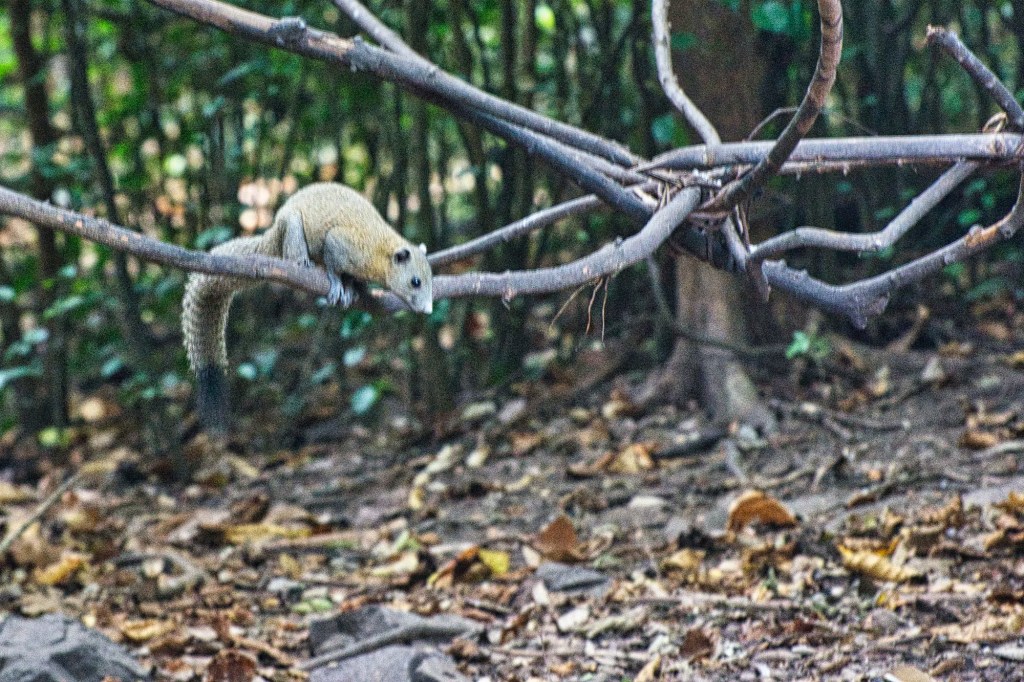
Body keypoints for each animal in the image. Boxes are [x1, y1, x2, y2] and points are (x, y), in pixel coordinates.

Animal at [182, 182, 433, 433]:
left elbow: (351, 278)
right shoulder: (340, 243)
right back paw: (303, 262)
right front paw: (338, 285)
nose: (429, 310)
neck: (380, 251)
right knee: (292, 252)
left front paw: (354, 287)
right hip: (292, 225)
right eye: (415, 282)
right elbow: (334, 266)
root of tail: (274, 227)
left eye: (430, 278)